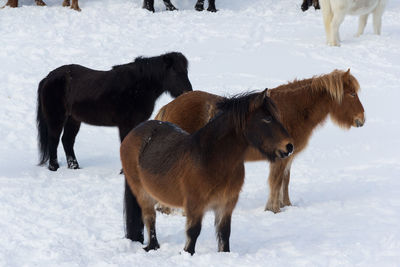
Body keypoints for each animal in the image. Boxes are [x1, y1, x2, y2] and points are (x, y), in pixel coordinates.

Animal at [36, 51, 193, 172]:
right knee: (54, 140)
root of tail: (48, 77)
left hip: (73, 119)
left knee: (67, 140)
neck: (138, 87)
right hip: (56, 118)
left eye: (186, 72)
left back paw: (74, 167)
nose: (188, 92)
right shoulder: (125, 125)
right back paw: (54, 167)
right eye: (175, 72)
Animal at [120, 90, 292, 255]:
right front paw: (187, 253)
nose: (289, 146)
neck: (211, 159)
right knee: (150, 218)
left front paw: (224, 254)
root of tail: (132, 134)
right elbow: (193, 231)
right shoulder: (195, 205)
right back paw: (153, 247)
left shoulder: (226, 204)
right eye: (267, 119)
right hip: (142, 193)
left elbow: (224, 232)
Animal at [155, 69, 366, 214]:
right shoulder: (281, 157)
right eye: (352, 94)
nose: (362, 119)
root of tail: (169, 107)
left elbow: (285, 181)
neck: (292, 110)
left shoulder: (288, 156)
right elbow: (276, 182)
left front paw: (286, 205)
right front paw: (273, 209)